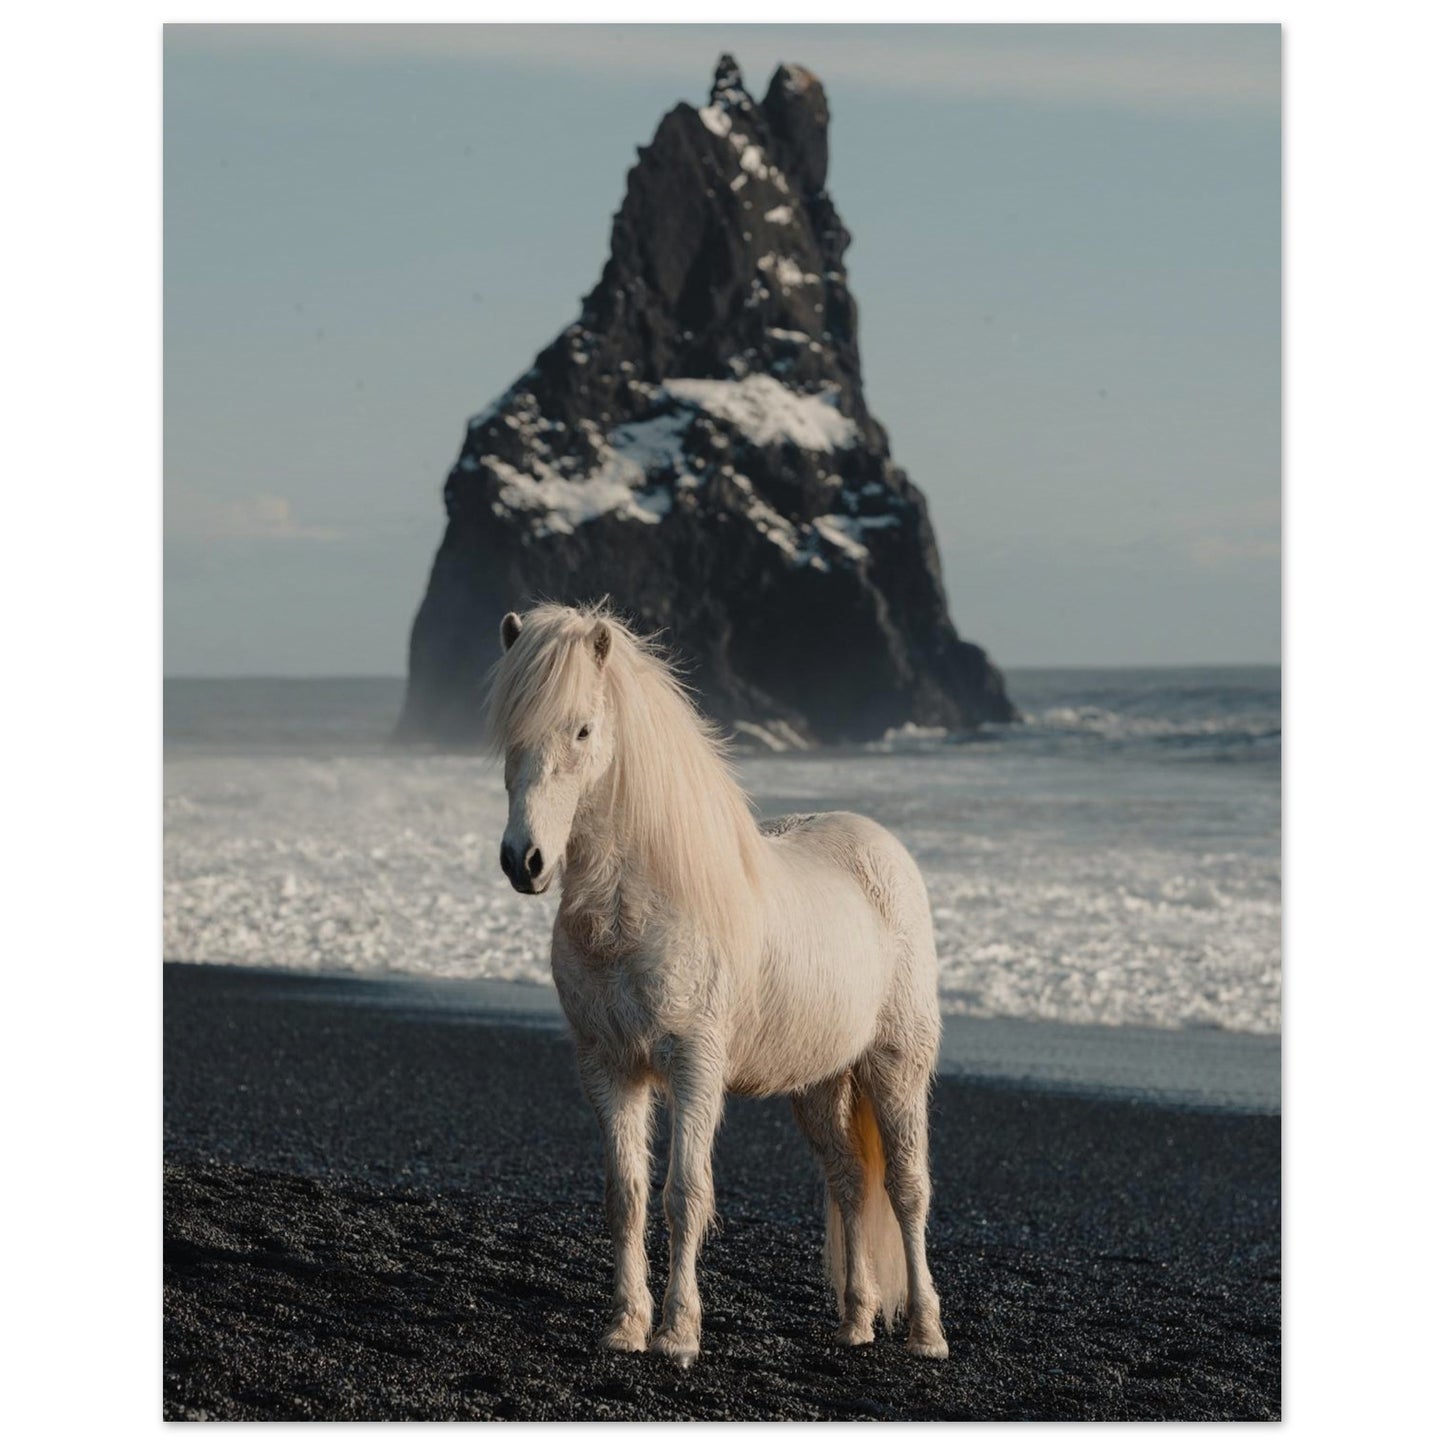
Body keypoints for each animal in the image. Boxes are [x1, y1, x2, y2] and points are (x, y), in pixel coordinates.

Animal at [484, 602, 948, 1367]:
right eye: (507, 732)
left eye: (582, 729)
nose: (525, 861)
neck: (639, 907)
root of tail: (879, 847)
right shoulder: (608, 1067)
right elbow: (627, 1195)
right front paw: (626, 1326)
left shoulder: (694, 1065)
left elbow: (684, 1194)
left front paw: (677, 1334)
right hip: (819, 1083)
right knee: (851, 1181)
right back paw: (854, 1321)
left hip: (894, 1066)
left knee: (908, 1191)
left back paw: (926, 1333)